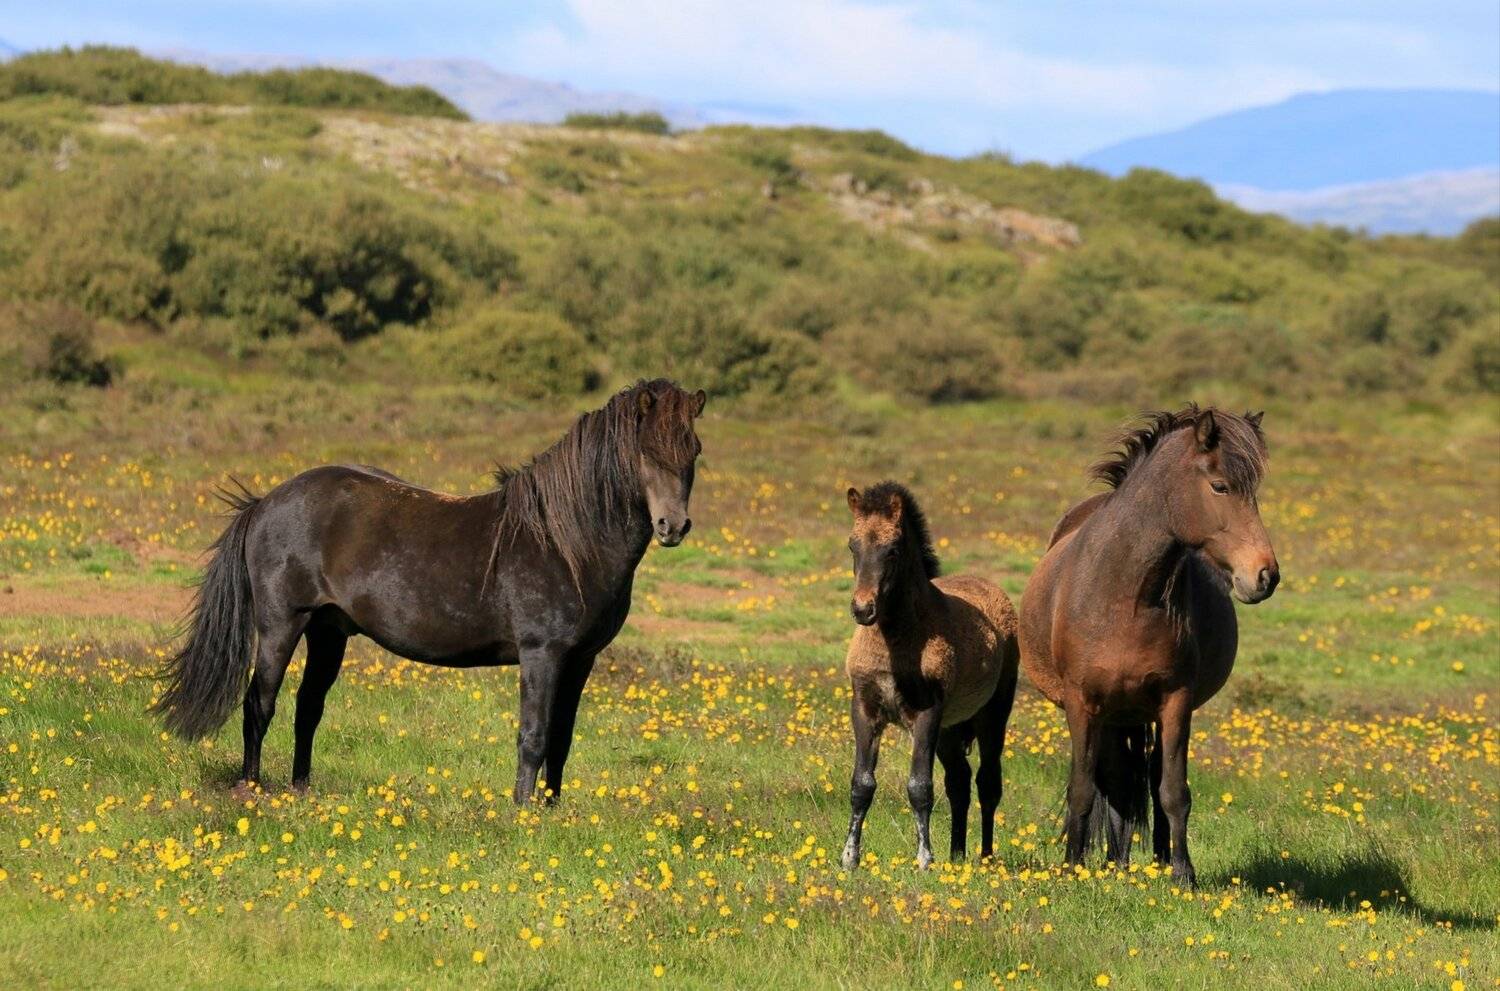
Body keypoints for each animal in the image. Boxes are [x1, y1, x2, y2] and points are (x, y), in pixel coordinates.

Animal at [153, 378, 707, 804]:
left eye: (694, 452)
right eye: (645, 452)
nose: (673, 526)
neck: (564, 542)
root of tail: (265, 501)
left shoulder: (580, 659)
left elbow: (562, 739)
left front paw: (552, 812)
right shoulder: (542, 654)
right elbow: (533, 736)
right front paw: (522, 814)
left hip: (328, 632)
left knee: (308, 707)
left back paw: (302, 791)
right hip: (281, 624)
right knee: (258, 703)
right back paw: (250, 791)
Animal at [839, 482, 1021, 870]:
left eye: (892, 549)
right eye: (852, 545)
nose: (862, 609)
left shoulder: (927, 714)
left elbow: (919, 786)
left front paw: (924, 859)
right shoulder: (864, 709)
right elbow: (861, 784)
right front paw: (849, 858)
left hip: (992, 715)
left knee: (987, 782)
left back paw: (984, 856)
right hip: (950, 730)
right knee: (959, 781)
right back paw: (957, 854)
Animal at [1019, 405, 1278, 888]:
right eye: (1220, 486)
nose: (1266, 575)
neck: (1124, 594)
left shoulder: (1175, 702)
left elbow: (1173, 791)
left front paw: (1183, 874)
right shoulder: (1082, 702)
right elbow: (1083, 789)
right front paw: (1072, 867)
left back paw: (1147, 861)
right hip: (1111, 714)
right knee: (1114, 781)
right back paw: (1114, 863)